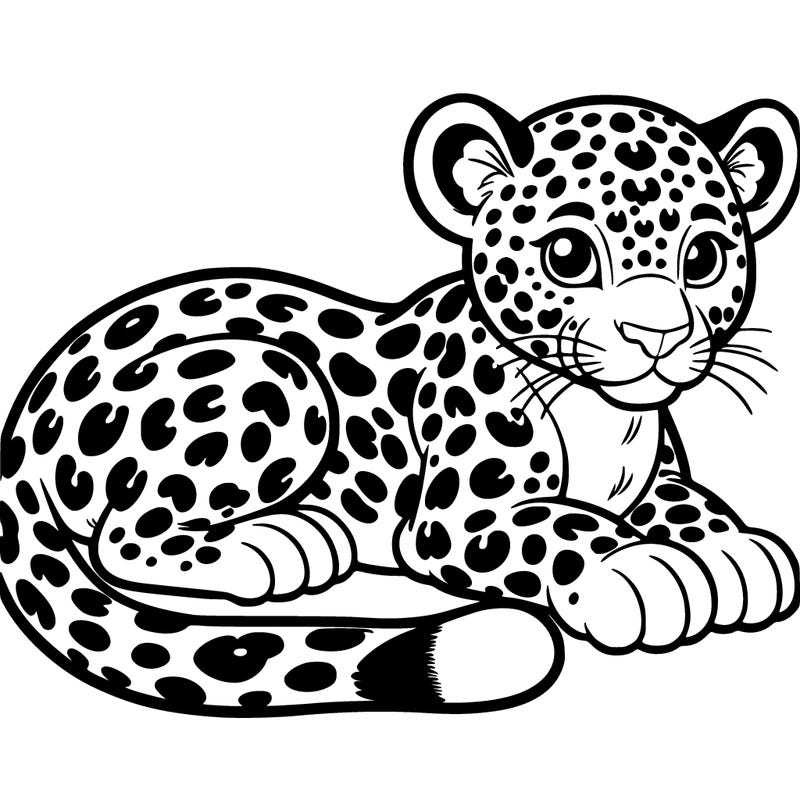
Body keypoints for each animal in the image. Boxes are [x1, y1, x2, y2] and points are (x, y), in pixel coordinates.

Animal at [1, 93, 799, 716]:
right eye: (568, 254)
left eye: (704, 257)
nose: (657, 334)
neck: (601, 413)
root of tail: (31, 411)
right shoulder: (460, 518)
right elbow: (562, 524)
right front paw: (644, 570)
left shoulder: (658, 480)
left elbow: (694, 506)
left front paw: (737, 555)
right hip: (274, 376)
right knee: (125, 536)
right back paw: (281, 542)